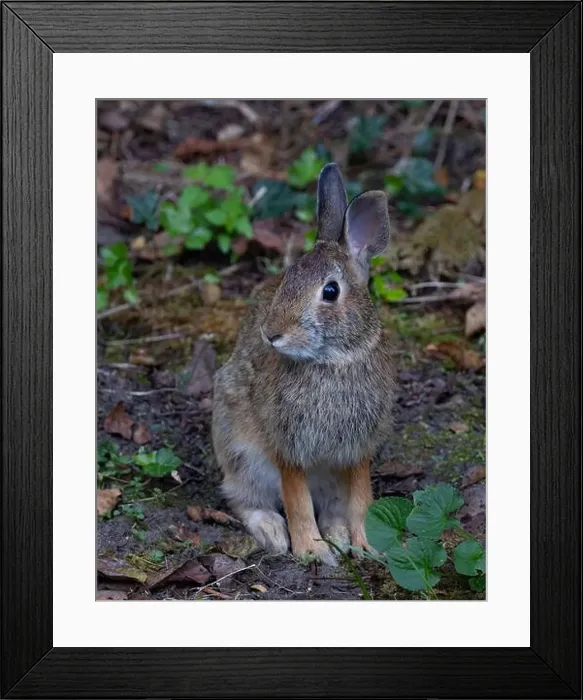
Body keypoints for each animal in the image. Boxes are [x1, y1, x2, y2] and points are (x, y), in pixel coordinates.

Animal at [211, 163, 395, 566]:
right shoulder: (287, 445)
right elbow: (297, 501)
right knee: (242, 498)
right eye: (288, 277)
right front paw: (311, 551)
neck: (332, 360)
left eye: (330, 291)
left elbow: (362, 498)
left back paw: (339, 536)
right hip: (239, 451)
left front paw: (367, 546)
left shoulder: (358, 448)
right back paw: (273, 532)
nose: (271, 333)